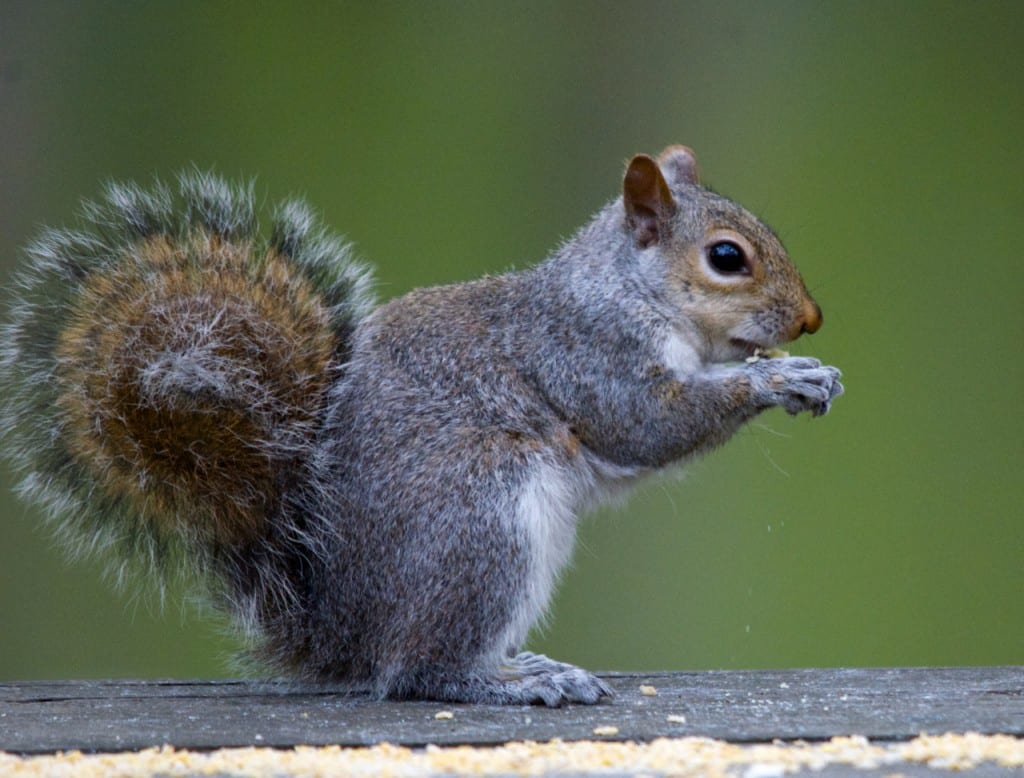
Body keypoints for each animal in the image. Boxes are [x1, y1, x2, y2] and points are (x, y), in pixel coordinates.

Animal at [4, 145, 843, 704]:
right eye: (726, 258)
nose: (810, 319)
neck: (627, 291)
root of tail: (337, 630)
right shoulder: (584, 353)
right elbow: (644, 423)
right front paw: (776, 378)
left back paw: (524, 666)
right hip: (482, 516)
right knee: (421, 672)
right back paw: (511, 683)